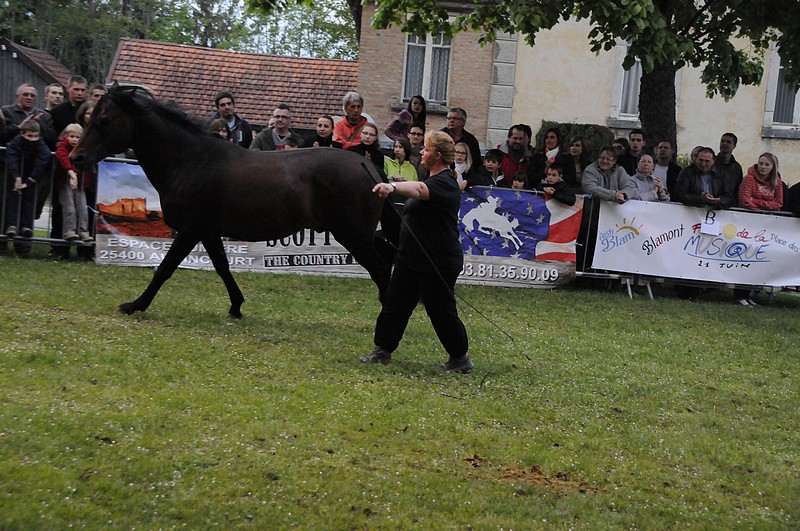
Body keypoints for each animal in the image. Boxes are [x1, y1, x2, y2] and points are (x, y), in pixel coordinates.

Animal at [71, 85, 393, 318]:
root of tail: (368, 165)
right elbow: (222, 267)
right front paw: (236, 307)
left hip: (352, 234)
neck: (191, 161)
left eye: (103, 120)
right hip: (360, 234)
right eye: (90, 117)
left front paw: (134, 305)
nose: (77, 158)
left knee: (380, 269)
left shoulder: (191, 229)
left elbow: (165, 268)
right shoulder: (208, 231)